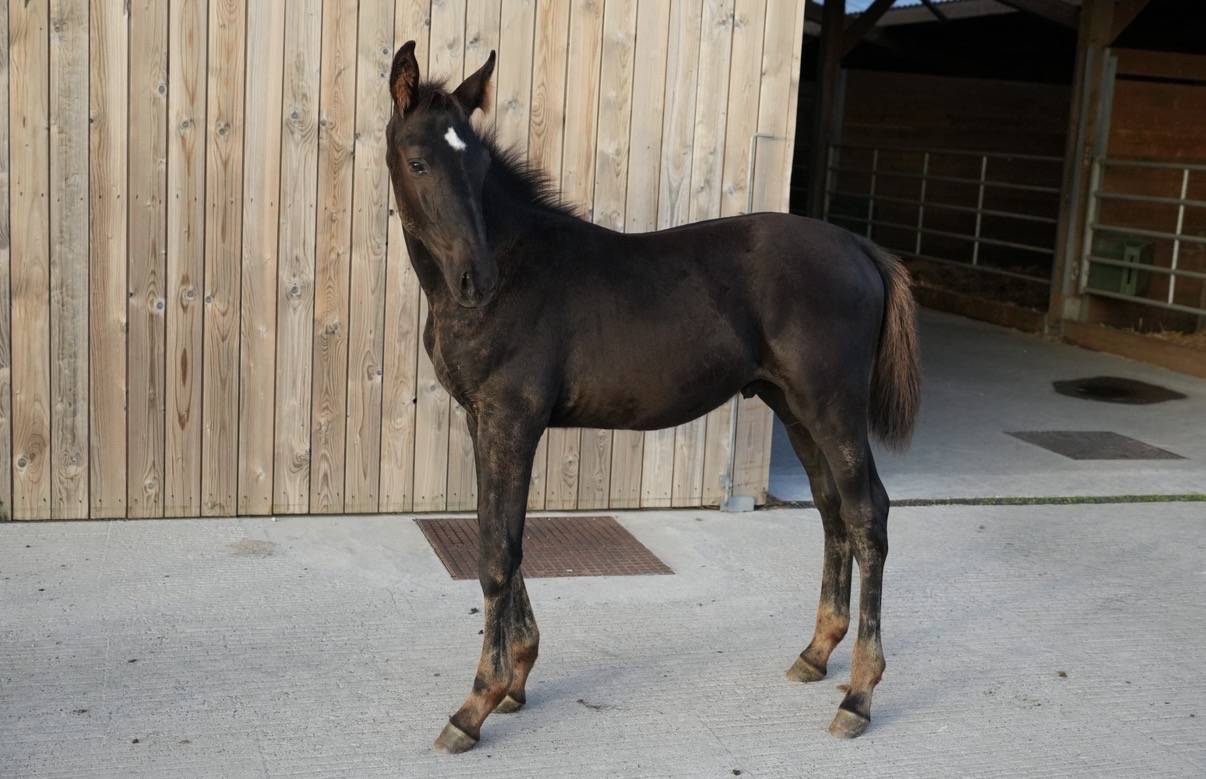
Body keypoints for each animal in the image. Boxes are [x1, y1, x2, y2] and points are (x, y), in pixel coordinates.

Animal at [385, 42, 920, 753]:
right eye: (420, 161)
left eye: (476, 163)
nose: (477, 280)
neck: (516, 270)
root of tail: (860, 247)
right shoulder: (486, 422)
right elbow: (501, 534)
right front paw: (518, 678)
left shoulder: (512, 419)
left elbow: (499, 551)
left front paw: (476, 705)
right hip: (793, 409)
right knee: (833, 512)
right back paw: (814, 655)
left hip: (832, 406)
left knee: (868, 516)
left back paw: (859, 695)